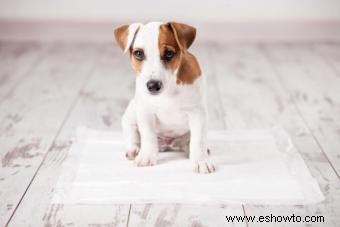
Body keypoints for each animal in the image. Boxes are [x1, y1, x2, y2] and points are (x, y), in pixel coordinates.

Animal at [114, 21, 215, 174]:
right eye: (138, 54)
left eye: (169, 53)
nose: (153, 85)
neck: (169, 89)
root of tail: (168, 144)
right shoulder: (145, 112)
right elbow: (148, 135)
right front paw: (146, 156)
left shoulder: (197, 113)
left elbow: (198, 140)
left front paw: (200, 161)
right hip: (131, 113)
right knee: (133, 133)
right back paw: (134, 150)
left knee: (191, 142)